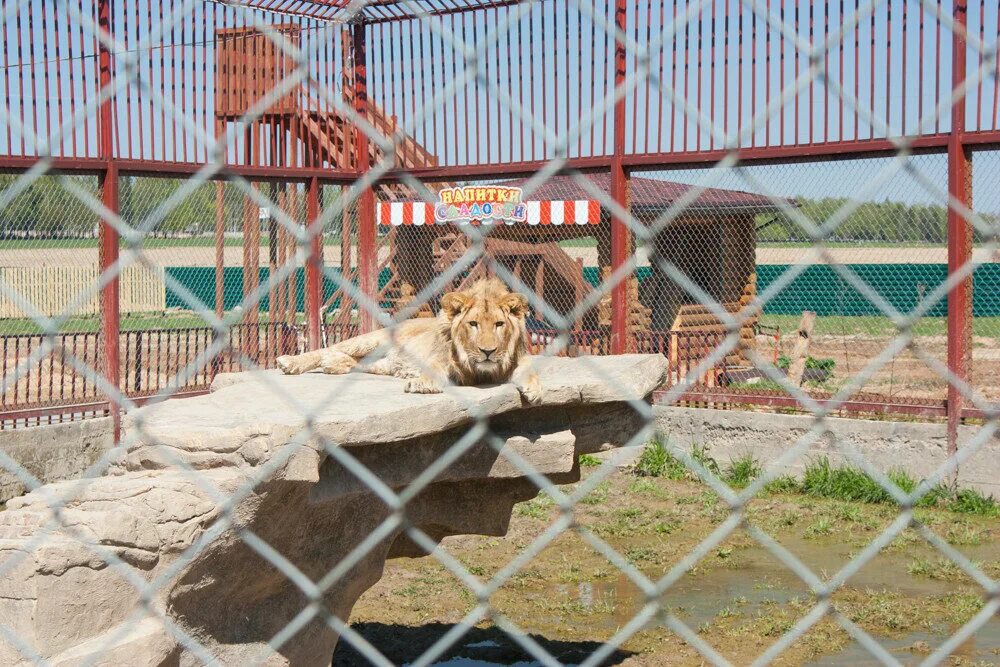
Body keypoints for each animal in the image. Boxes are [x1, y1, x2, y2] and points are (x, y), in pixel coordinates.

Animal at [274, 280, 540, 404]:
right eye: (473, 324)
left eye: (499, 324)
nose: (487, 351)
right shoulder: (442, 358)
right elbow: (433, 369)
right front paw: (422, 383)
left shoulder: (517, 359)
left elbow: (530, 370)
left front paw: (534, 390)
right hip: (372, 339)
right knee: (327, 348)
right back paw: (291, 362)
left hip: (381, 364)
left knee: (356, 362)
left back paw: (334, 364)